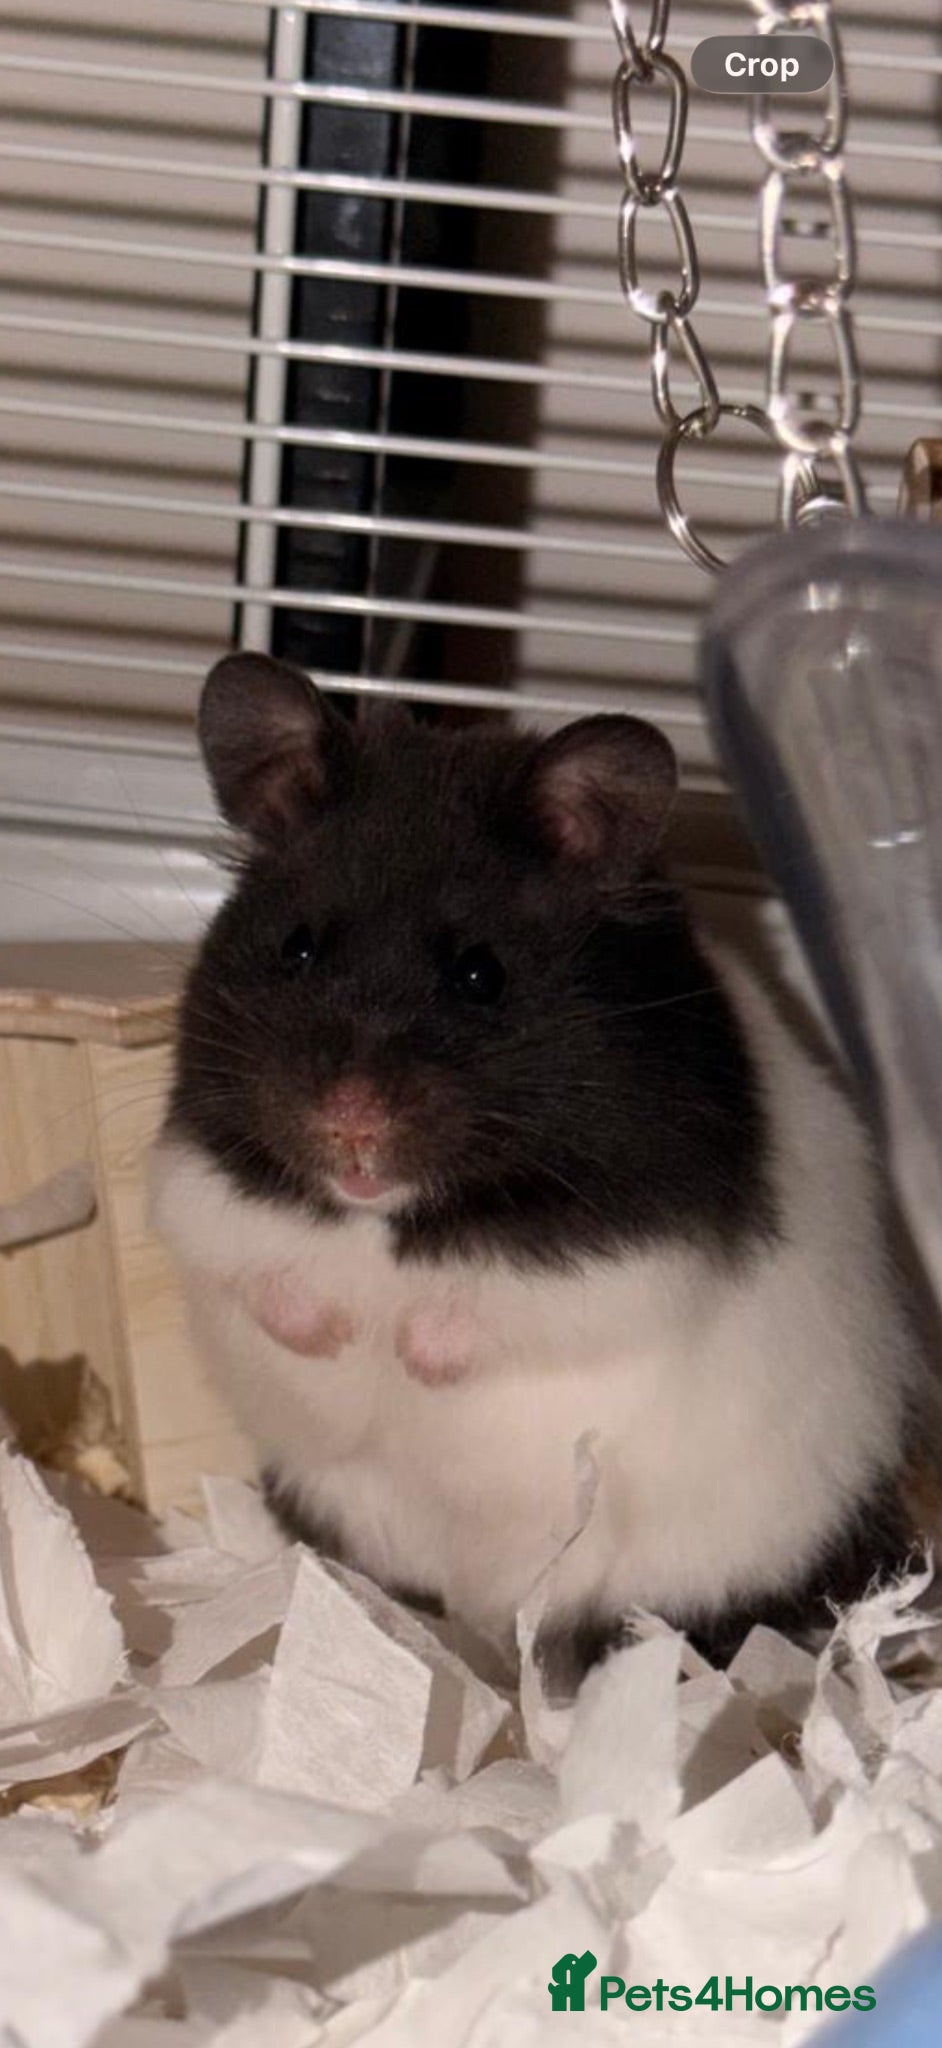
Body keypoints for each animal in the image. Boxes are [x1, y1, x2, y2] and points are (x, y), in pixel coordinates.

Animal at [151, 650, 925, 1682]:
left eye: (480, 975)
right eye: (297, 950)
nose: (350, 1121)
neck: (384, 1218)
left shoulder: (636, 1242)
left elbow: (495, 1303)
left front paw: (407, 1353)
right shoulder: (204, 1174)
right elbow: (255, 1267)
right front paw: (331, 1335)